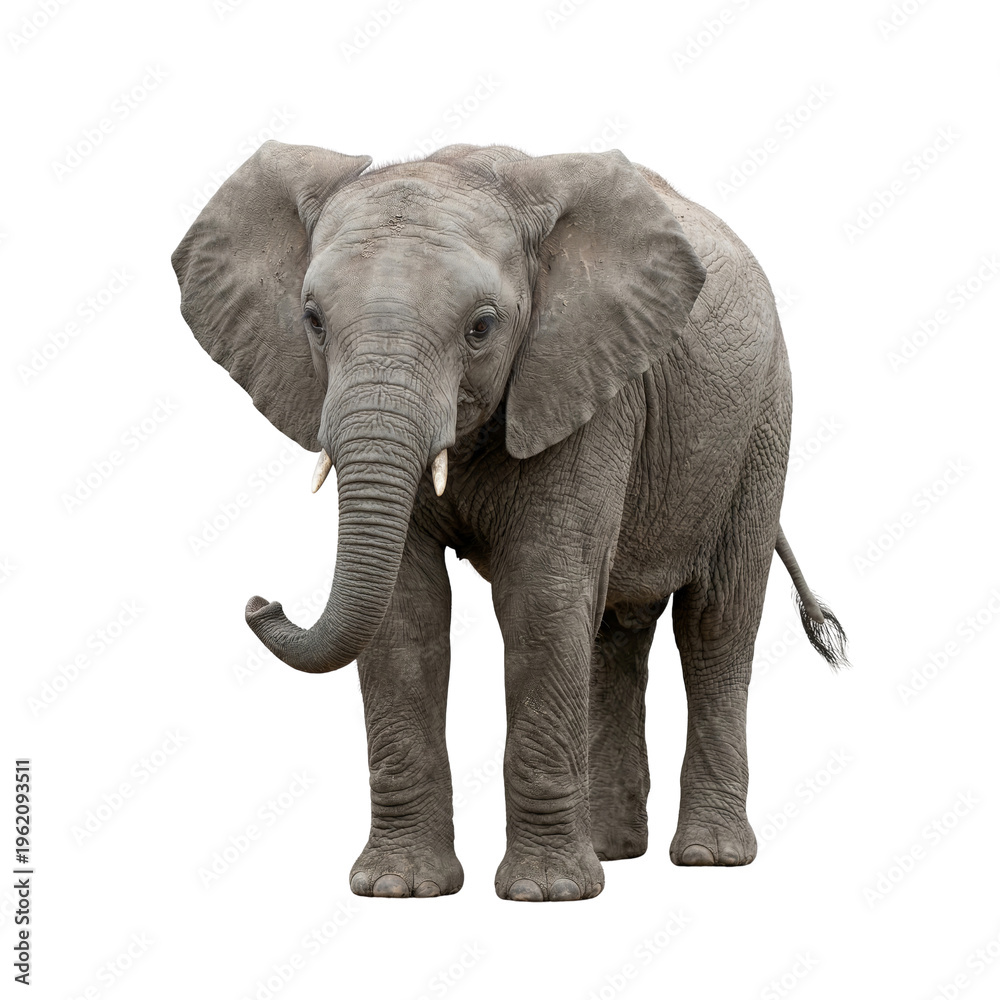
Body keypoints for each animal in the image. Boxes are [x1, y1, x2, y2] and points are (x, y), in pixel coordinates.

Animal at [172, 140, 847, 902]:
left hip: (761, 420)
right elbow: (405, 612)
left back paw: (710, 857)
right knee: (614, 630)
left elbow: (540, 596)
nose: (261, 602)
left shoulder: (585, 381)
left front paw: (545, 895)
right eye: (312, 319)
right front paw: (398, 888)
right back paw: (613, 852)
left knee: (715, 623)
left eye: (482, 327)